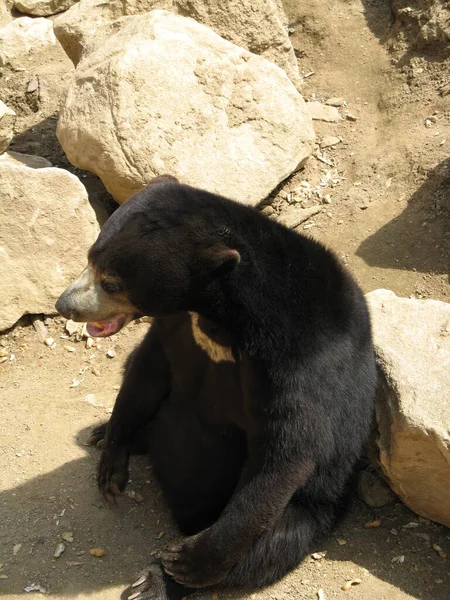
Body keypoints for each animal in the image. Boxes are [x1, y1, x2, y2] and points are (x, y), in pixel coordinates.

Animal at [55, 177, 376, 600]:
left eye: (111, 282)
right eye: (90, 258)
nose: (64, 305)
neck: (220, 316)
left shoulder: (303, 363)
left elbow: (287, 453)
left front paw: (186, 562)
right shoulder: (174, 326)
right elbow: (145, 373)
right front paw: (111, 467)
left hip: (317, 503)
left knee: (270, 545)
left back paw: (154, 581)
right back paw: (100, 432)